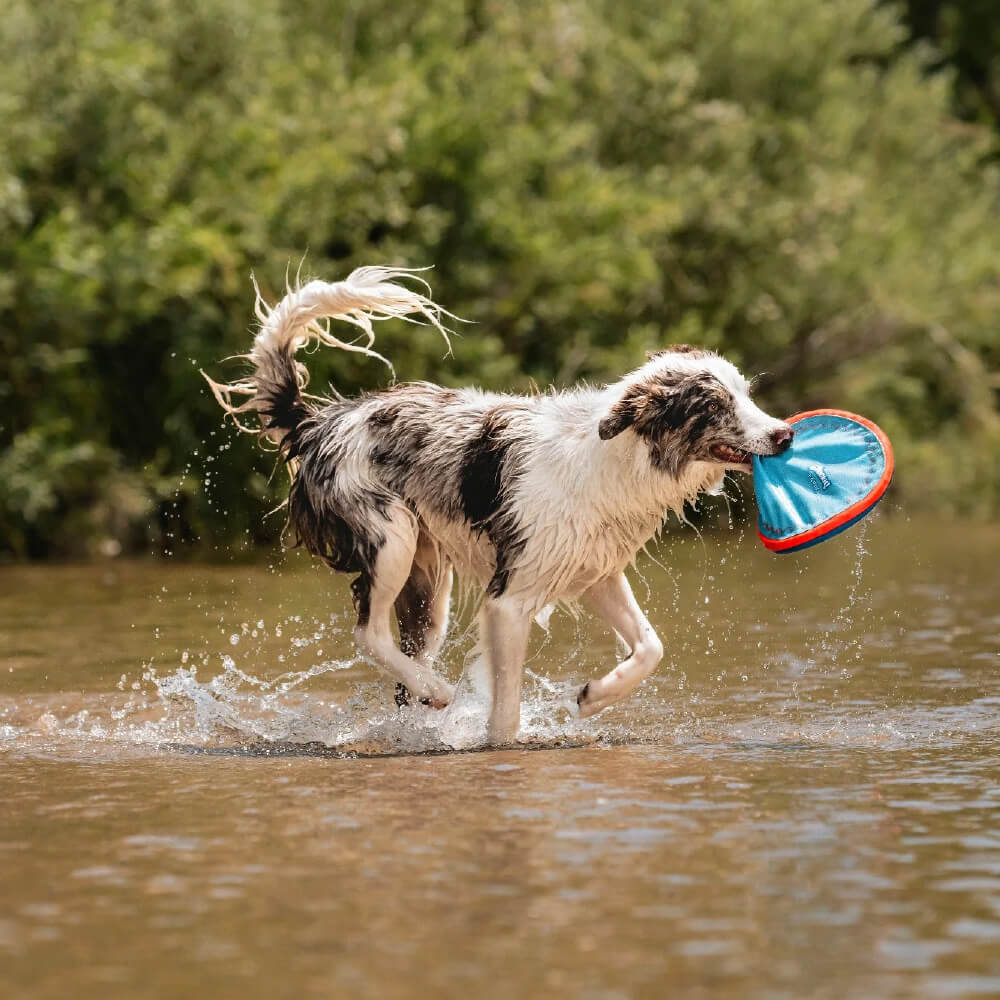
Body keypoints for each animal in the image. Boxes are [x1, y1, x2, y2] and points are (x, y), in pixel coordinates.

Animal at [207, 264, 792, 744]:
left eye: (746, 393)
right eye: (715, 406)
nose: (785, 435)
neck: (616, 456)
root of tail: (318, 423)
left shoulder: (596, 572)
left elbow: (651, 647)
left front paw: (592, 697)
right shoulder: (509, 599)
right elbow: (506, 718)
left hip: (427, 589)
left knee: (400, 670)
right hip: (390, 537)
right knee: (366, 634)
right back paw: (439, 691)